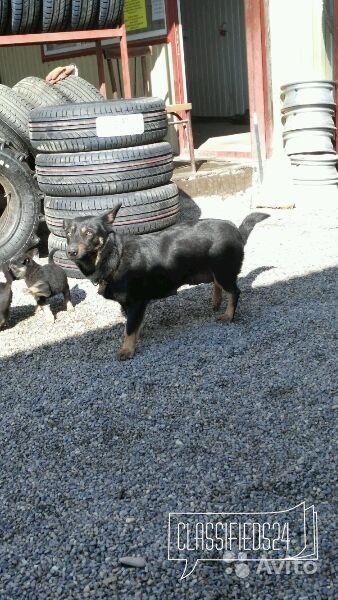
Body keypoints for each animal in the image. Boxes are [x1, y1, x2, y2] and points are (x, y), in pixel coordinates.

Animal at [64, 206, 268, 358]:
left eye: (89, 233)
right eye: (68, 234)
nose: (70, 252)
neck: (115, 256)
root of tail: (236, 230)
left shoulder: (136, 301)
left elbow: (130, 327)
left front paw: (127, 349)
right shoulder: (131, 304)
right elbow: (133, 324)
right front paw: (136, 335)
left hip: (223, 271)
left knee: (234, 292)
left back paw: (228, 315)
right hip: (216, 271)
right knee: (219, 286)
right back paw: (216, 303)